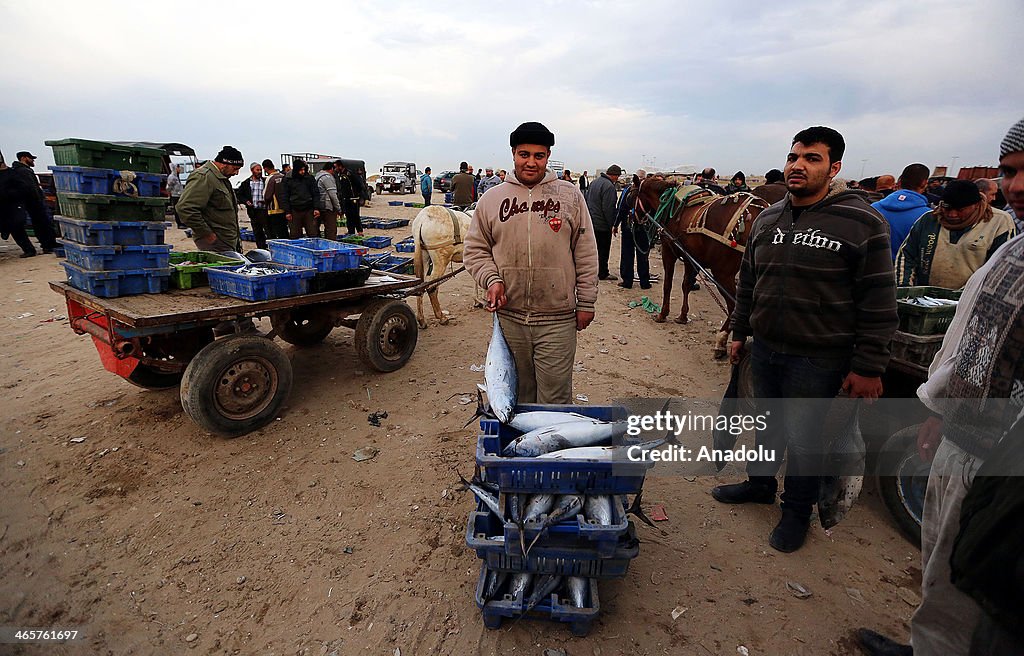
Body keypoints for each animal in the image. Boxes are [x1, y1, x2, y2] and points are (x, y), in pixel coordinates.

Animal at [630, 176, 770, 356]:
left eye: (632, 195)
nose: (631, 219)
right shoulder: (691, 258)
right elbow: (686, 285)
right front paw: (683, 316)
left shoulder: (669, 251)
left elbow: (668, 285)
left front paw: (663, 314)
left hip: (722, 273)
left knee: (735, 306)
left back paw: (722, 340)